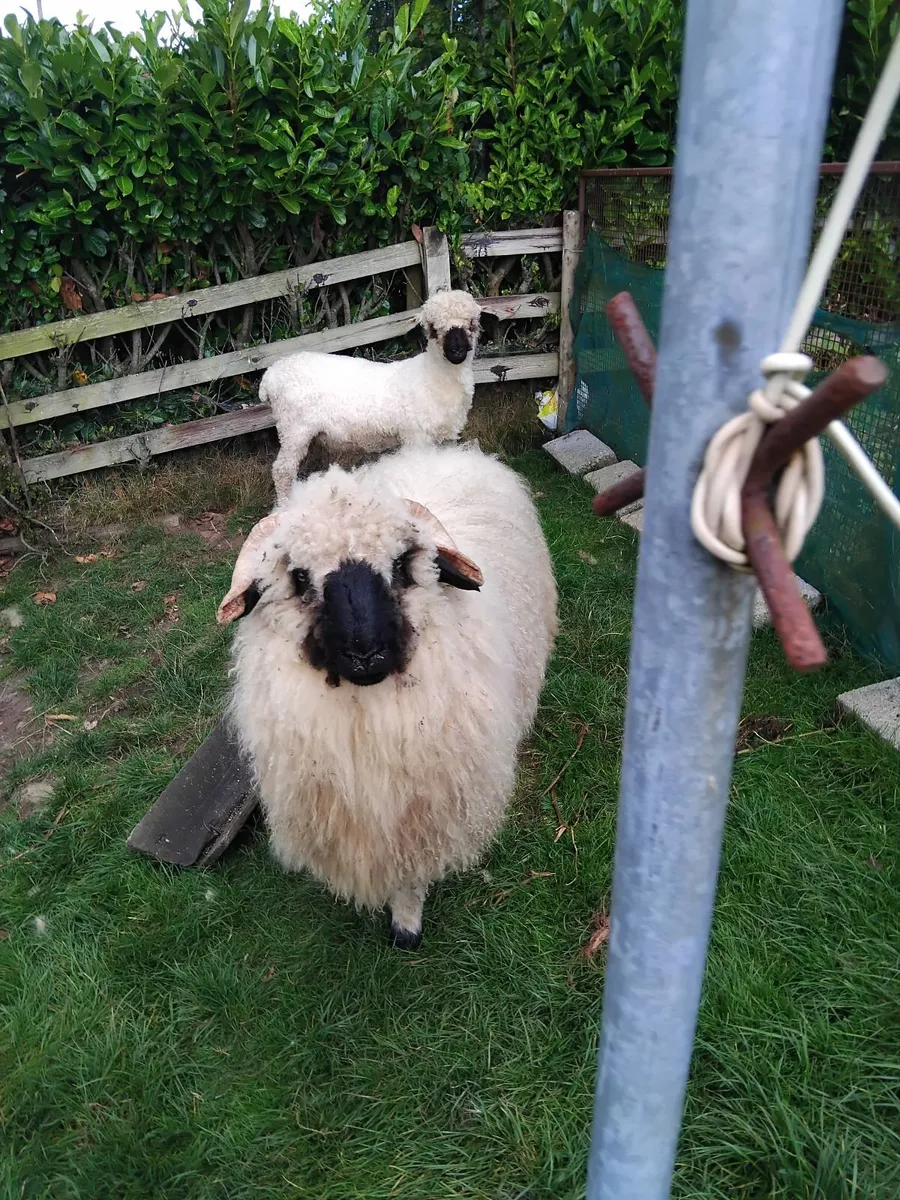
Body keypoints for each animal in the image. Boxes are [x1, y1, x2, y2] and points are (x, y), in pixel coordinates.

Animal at [216, 442, 557, 948]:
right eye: (300, 578)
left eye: (399, 565)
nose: (366, 653)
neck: (366, 718)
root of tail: (450, 451)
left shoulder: (420, 813)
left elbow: (410, 874)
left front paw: (407, 925)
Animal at [261, 289, 499, 501]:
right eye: (432, 329)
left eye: (472, 323)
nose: (456, 352)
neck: (431, 377)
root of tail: (271, 374)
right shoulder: (415, 437)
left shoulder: (446, 438)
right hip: (294, 428)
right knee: (282, 470)